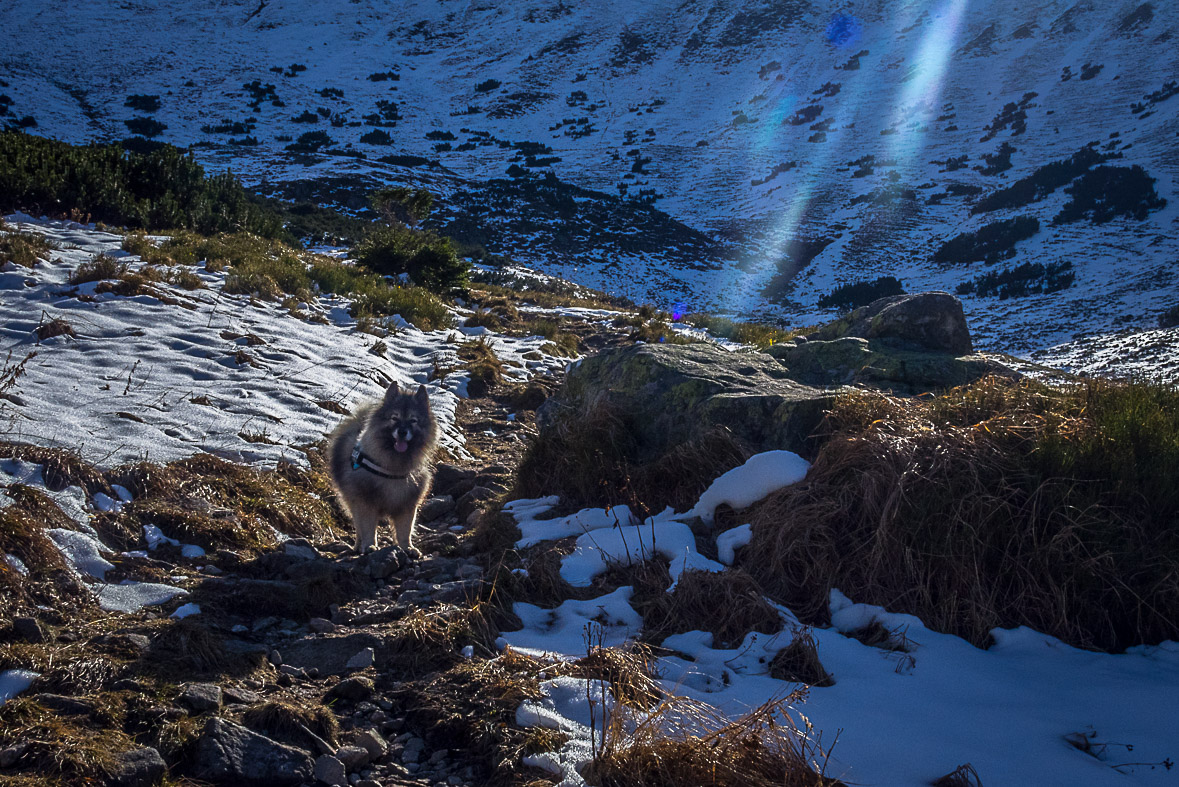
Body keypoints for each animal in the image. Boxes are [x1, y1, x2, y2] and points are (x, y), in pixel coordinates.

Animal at [327, 381, 438, 553]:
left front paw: (408, 547)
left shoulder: (407, 504)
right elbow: (367, 528)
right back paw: (358, 546)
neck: (392, 467)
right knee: (358, 527)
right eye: (394, 418)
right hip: (351, 500)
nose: (402, 432)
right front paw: (370, 545)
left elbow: (405, 530)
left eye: (413, 420)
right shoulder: (365, 503)